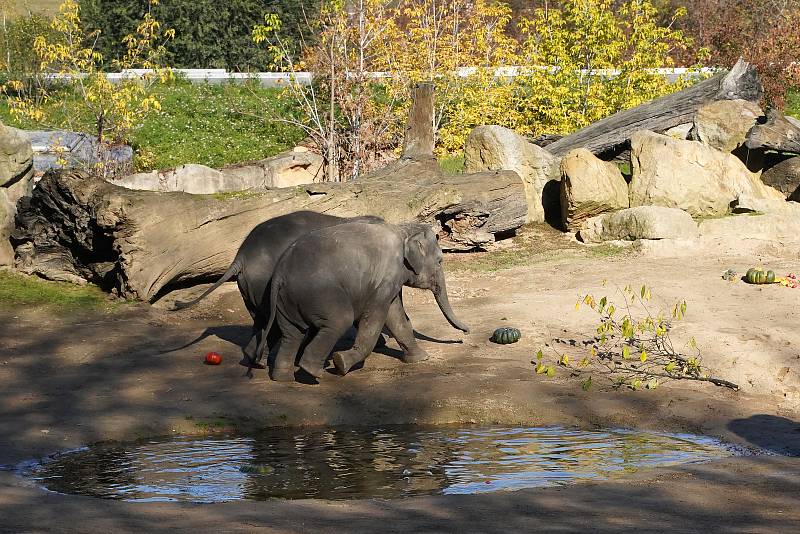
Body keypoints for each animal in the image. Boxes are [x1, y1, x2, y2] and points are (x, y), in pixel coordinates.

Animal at [268, 220, 468, 384]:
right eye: (440, 261)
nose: (466, 332)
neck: (403, 230)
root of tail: (280, 272)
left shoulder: (392, 279)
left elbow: (397, 317)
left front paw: (420, 358)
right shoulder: (386, 277)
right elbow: (376, 317)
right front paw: (341, 363)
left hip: (286, 301)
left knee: (292, 333)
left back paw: (282, 378)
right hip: (319, 293)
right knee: (339, 321)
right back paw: (314, 372)